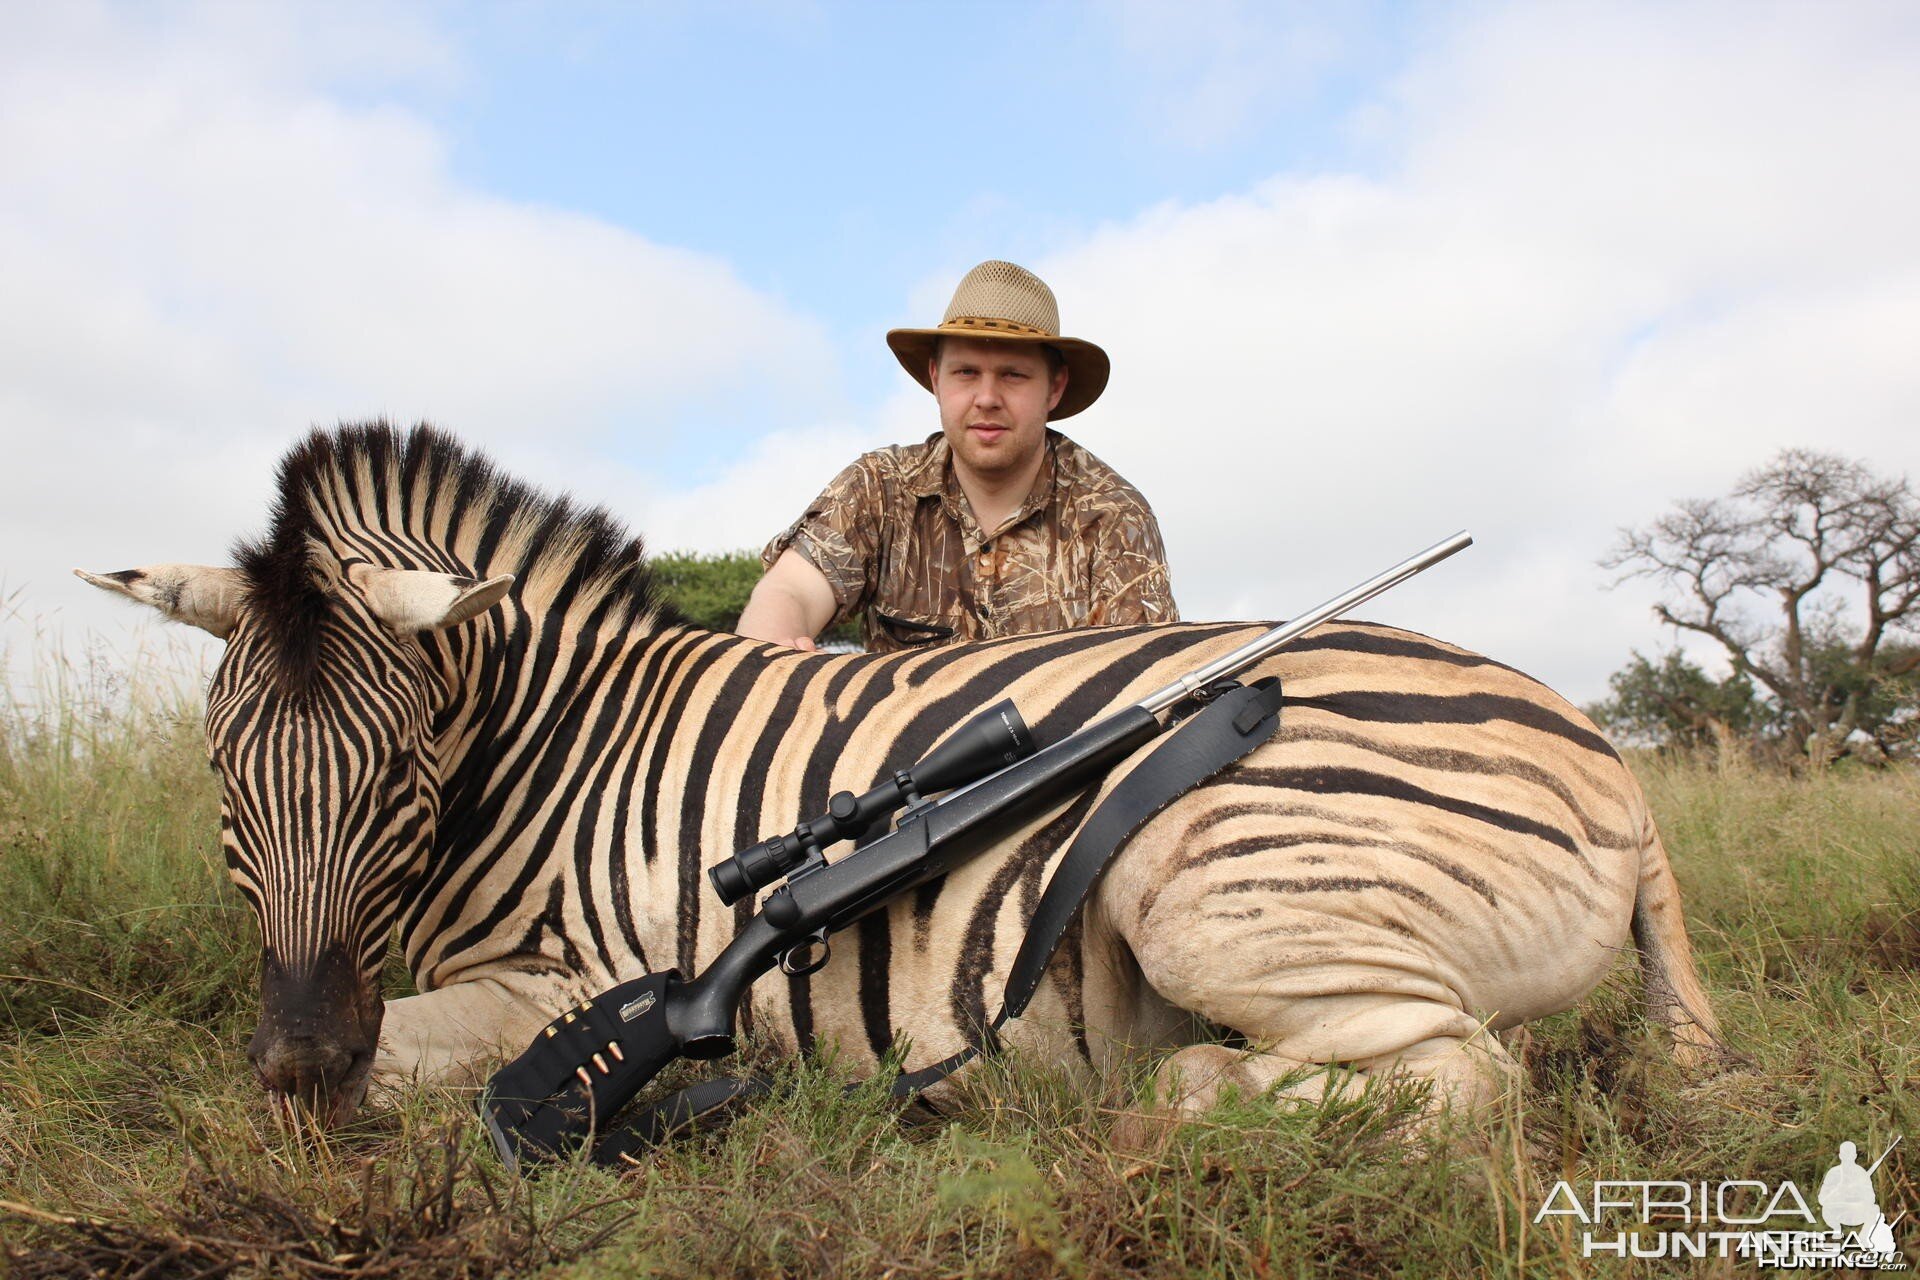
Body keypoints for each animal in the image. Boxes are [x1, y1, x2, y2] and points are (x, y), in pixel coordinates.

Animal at [78, 427, 1728, 1128]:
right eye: (223, 772)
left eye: (402, 772)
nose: (297, 1066)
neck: (557, 754)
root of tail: (1613, 766)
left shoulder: (573, 982)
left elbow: (434, 1057)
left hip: (1205, 872)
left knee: (1464, 1082)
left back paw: (1178, 1091)